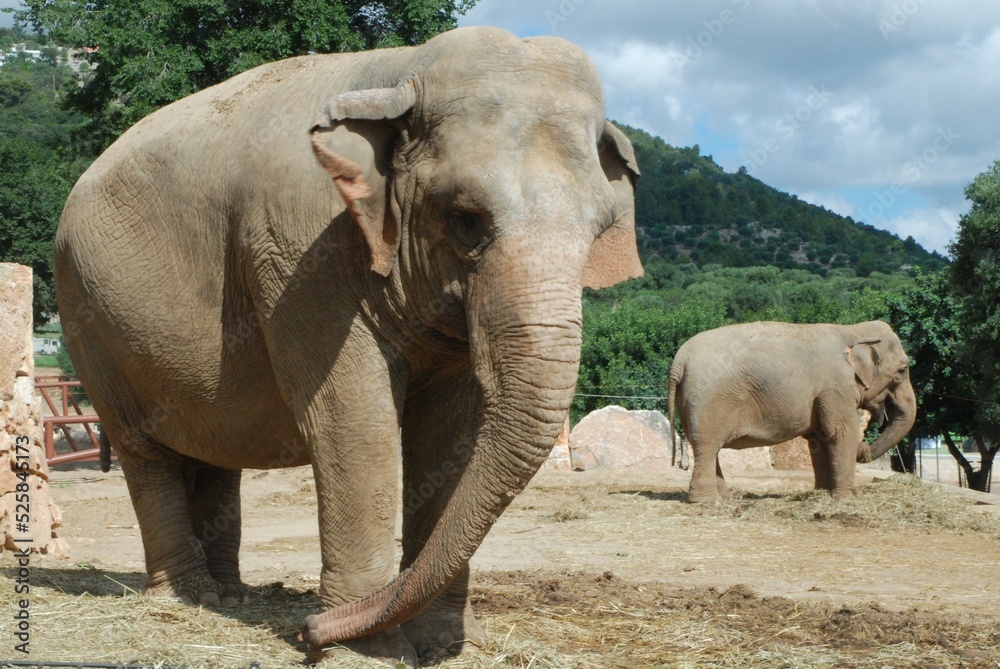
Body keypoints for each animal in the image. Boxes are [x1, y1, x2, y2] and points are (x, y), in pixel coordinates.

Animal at [54, 26, 643, 666]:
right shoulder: (301, 252)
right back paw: (188, 598)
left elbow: (449, 433)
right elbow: (355, 423)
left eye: (598, 229)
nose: (309, 631)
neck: (403, 72)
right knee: (145, 451)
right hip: (89, 321)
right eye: (466, 219)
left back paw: (231, 597)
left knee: (213, 450)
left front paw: (445, 644)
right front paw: (368, 649)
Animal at [667, 321, 916, 504]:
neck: (853, 329)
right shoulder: (836, 387)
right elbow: (841, 433)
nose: (864, 449)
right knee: (707, 446)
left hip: (687, 400)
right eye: (902, 370)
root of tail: (679, 361)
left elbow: (820, 438)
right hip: (708, 400)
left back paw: (726, 499)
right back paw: (707, 502)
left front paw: (822, 494)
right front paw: (848, 500)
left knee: (708, 448)